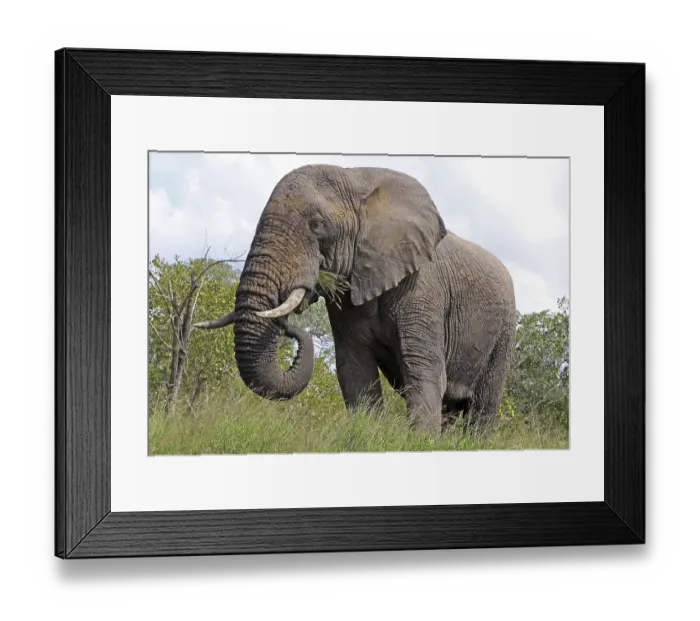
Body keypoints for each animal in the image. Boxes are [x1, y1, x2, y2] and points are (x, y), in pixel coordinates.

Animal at [194, 164, 517, 436]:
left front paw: (420, 443)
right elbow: (355, 371)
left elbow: (423, 370)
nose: (290, 324)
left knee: (484, 404)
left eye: (316, 225)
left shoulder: (424, 289)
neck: (357, 180)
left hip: (504, 330)